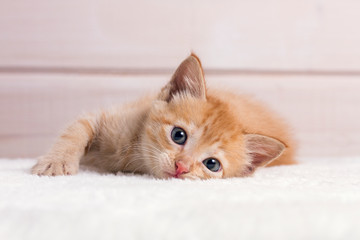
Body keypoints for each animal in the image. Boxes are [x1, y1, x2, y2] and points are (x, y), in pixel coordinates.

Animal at [31, 54, 296, 178]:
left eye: (212, 164)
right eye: (178, 135)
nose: (182, 168)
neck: (133, 157)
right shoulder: (101, 119)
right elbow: (74, 131)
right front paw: (56, 161)